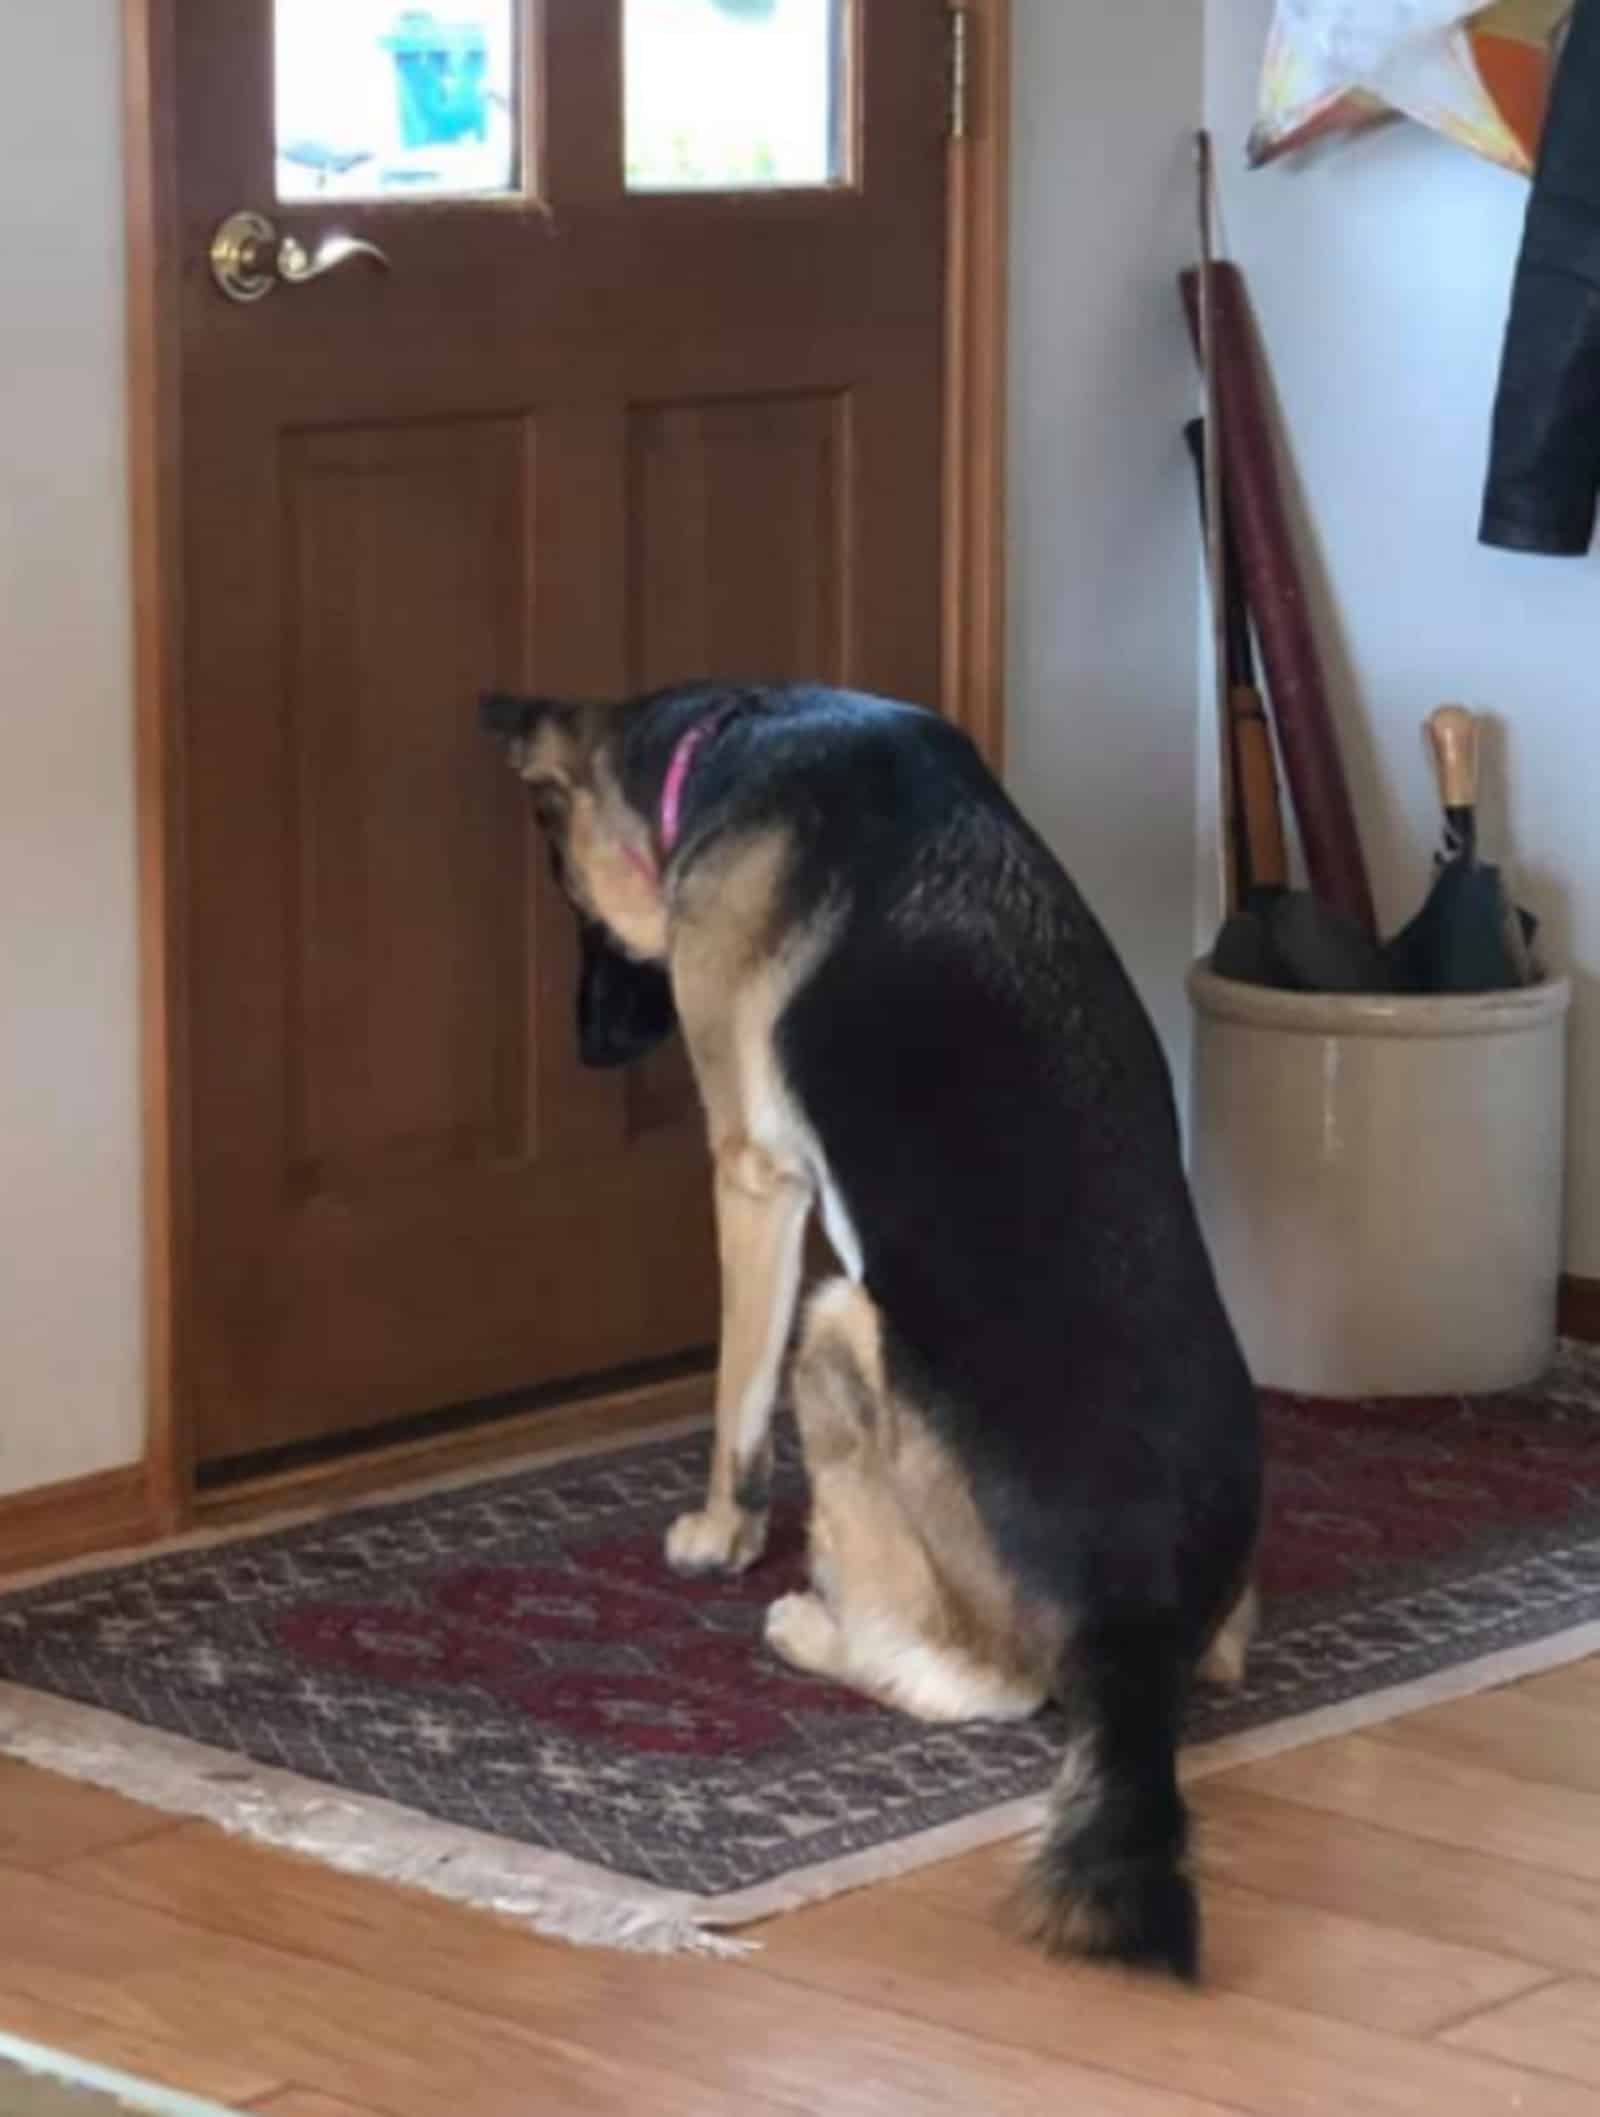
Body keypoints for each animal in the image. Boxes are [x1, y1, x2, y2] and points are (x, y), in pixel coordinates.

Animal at [478, 681, 1261, 1981]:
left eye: (575, 906)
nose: (585, 1045)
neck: (734, 737)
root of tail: (1135, 1634)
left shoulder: (753, 1174)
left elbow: (733, 1401)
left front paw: (719, 1534)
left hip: (840, 1325)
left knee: (974, 1678)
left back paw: (817, 1623)